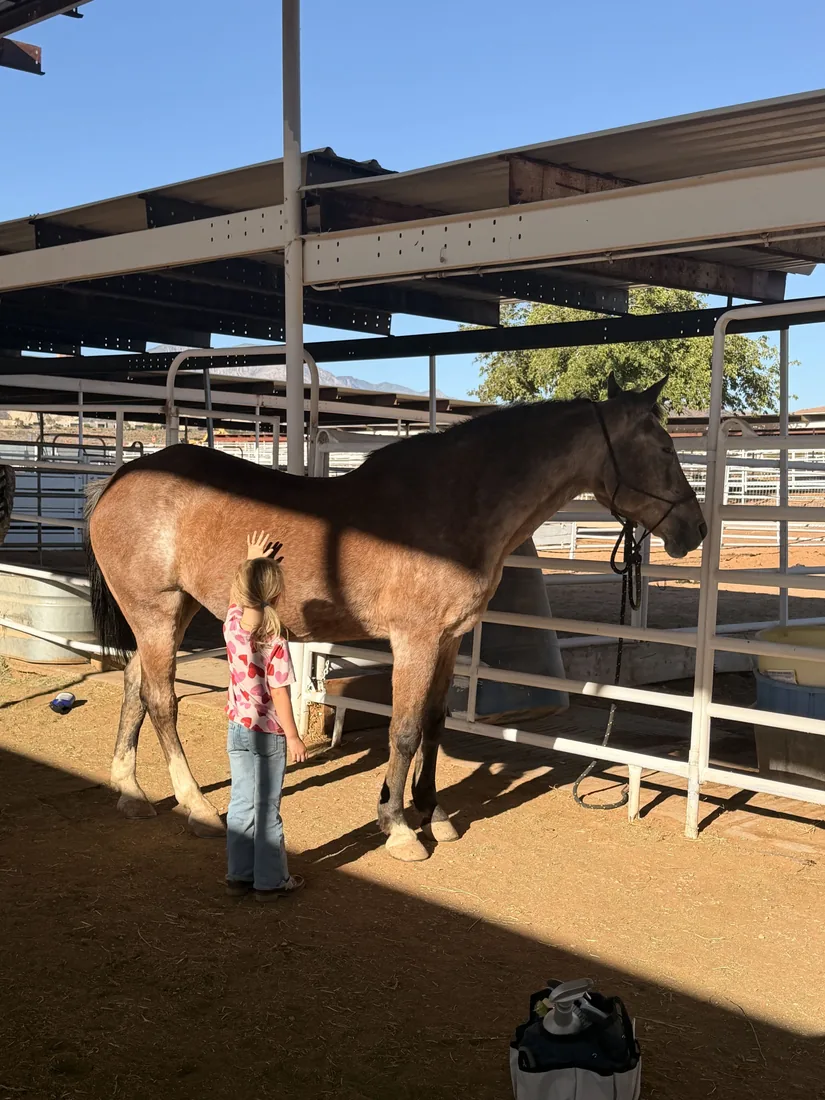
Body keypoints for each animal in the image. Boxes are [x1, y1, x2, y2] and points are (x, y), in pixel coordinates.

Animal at [85, 373, 706, 862]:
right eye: (664, 448)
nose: (695, 530)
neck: (454, 504)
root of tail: (120, 480)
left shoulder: (449, 640)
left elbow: (433, 723)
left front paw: (435, 816)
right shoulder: (415, 640)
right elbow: (403, 730)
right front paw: (400, 828)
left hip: (170, 612)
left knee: (135, 686)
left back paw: (131, 793)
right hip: (158, 611)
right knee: (161, 700)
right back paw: (197, 807)